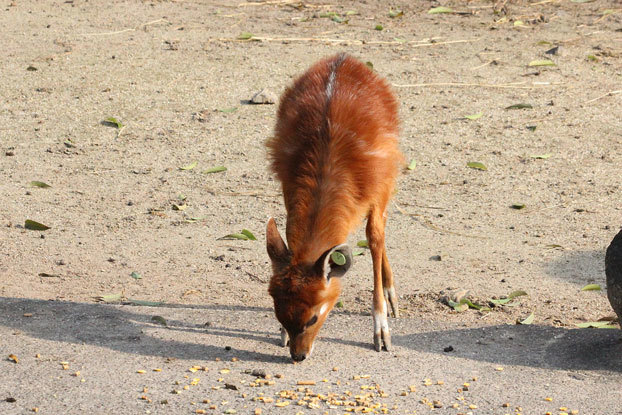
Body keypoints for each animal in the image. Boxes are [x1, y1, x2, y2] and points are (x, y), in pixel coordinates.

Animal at [264, 53, 402, 362]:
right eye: (280, 316)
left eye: (313, 318)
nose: (298, 355)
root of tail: (344, 58)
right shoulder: (288, 185)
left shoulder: (378, 185)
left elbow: (374, 237)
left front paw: (381, 334)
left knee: (382, 227)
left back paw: (392, 297)